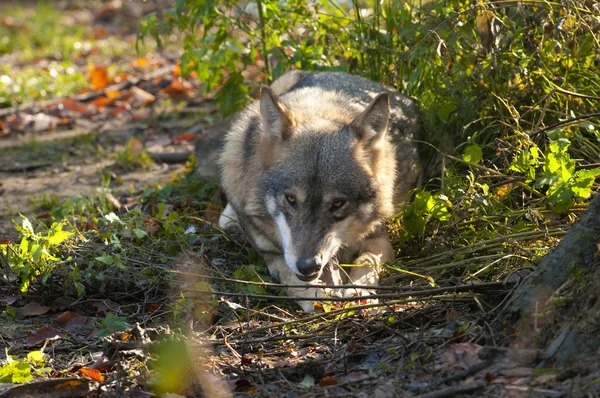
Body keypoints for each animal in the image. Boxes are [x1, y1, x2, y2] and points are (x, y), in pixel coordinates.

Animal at [220, 72, 426, 314]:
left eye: (337, 203)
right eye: (290, 199)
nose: (308, 266)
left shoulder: (380, 240)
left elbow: (366, 263)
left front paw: (360, 294)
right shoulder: (271, 254)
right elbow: (290, 278)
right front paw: (318, 296)